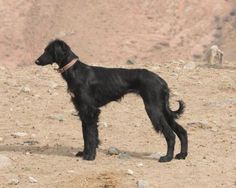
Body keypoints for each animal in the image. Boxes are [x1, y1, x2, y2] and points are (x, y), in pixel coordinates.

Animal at [34, 39, 188, 162]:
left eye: (48, 50)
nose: (36, 61)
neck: (75, 71)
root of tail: (162, 81)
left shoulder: (90, 111)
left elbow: (90, 135)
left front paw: (90, 156)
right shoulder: (82, 110)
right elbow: (86, 135)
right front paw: (84, 153)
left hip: (153, 110)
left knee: (171, 134)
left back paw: (167, 158)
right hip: (162, 109)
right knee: (182, 131)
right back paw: (182, 155)